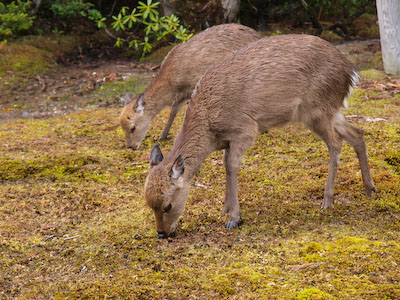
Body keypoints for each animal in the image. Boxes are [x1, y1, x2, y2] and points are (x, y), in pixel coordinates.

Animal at [118, 22, 262, 149]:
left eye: (132, 127)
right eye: (122, 127)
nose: (131, 146)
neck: (173, 83)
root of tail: (258, 35)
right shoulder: (183, 94)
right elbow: (173, 111)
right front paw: (162, 136)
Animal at [145, 33, 376, 239]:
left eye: (168, 205)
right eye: (149, 205)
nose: (161, 234)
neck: (210, 128)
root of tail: (351, 72)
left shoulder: (244, 129)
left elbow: (232, 165)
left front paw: (234, 218)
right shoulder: (227, 140)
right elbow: (225, 164)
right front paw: (225, 208)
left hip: (316, 110)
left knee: (336, 143)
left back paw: (327, 201)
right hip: (331, 110)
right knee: (356, 133)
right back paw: (369, 189)